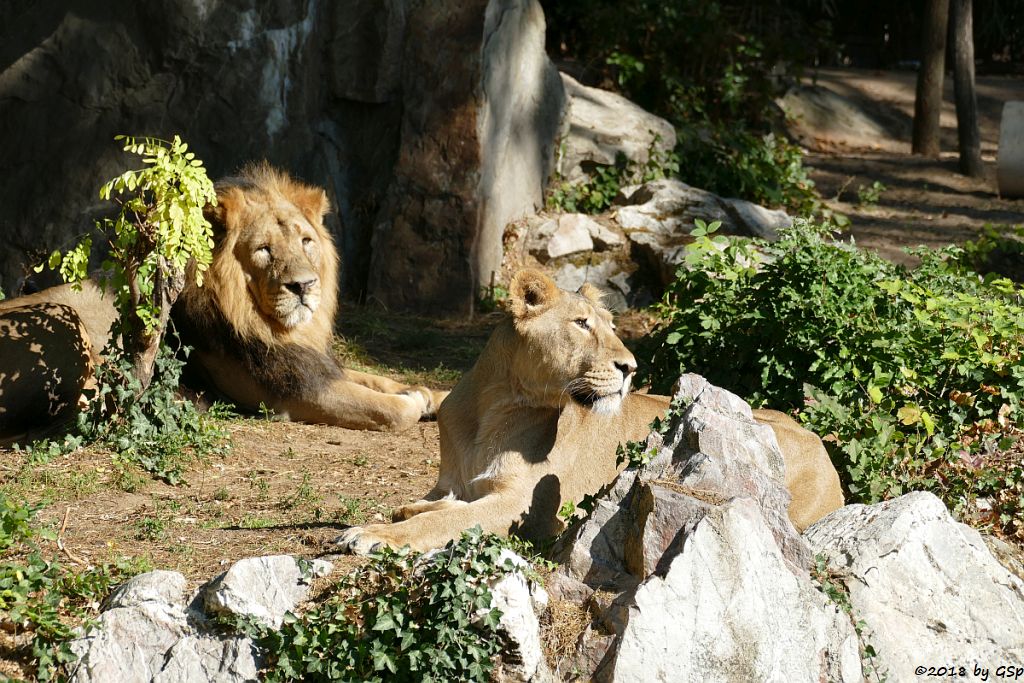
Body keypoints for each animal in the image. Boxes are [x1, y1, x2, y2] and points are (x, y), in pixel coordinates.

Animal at [335, 268, 839, 557]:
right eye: (581, 324)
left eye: (612, 328)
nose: (631, 368)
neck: (489, 408)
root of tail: (822, 447)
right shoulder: (451, 482)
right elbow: (437, 503)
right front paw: (402, 511)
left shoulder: (521, 507)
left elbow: (443, 520)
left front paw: (375, 534)